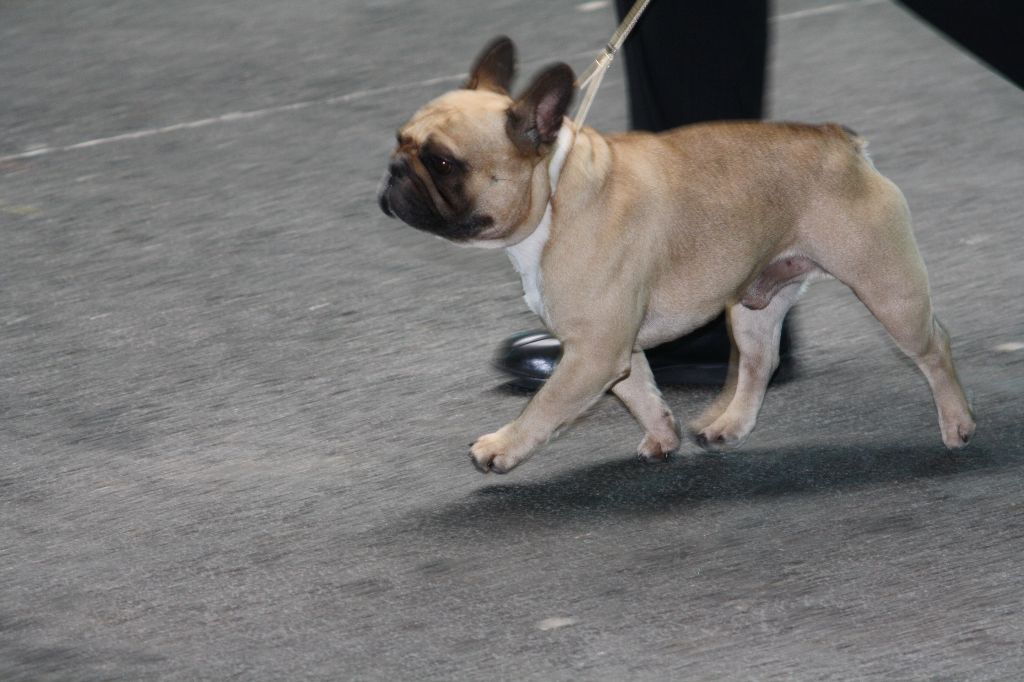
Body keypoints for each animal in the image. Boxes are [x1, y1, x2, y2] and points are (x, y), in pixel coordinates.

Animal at [378, 35, 974, 473]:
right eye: (399, 140)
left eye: (443, 163)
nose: (394, 170)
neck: (553, 195)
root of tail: (841, 141)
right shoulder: (606, 348)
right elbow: (640, 390)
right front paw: (663, 435)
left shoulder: (592, 351)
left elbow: (548, 402)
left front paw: (502, 446)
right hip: (754, 303)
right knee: (759, 362)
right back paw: (727, 425)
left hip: (887, 286)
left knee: (934, 346)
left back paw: (958, 423)